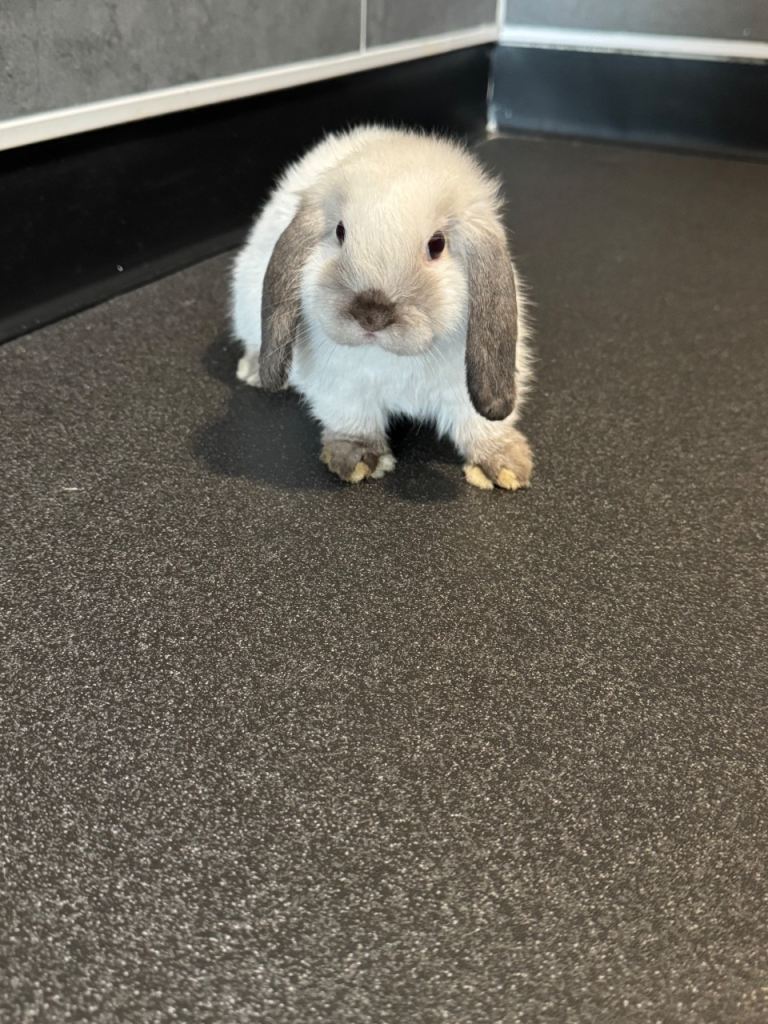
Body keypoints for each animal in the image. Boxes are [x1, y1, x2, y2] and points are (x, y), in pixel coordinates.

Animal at [231, 125, 533, 490]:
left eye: (437, 244)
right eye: (340, 232)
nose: (371, 314)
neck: (395, 358)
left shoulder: (465, 392)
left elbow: (480, 425)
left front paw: (505, 465)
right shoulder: (342, 388)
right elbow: (353, 421)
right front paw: (357, 459)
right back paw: (251, 371)